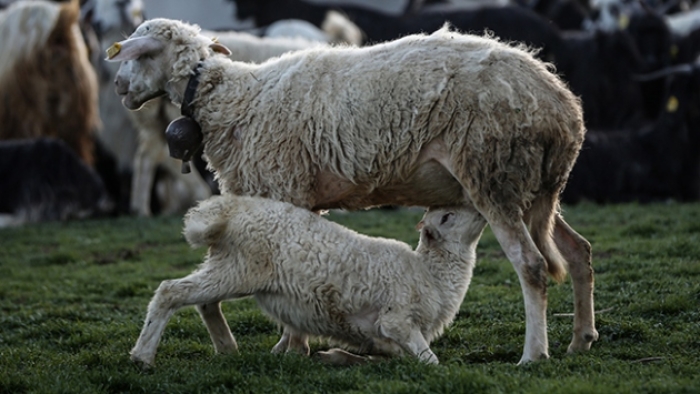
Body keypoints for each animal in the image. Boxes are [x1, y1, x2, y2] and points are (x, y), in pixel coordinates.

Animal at [130, 194, 486, 366]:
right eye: (447, 217)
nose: (480, 209)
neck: (430, 274)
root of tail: (229, 211)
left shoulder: (384, 337)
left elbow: (383, 356)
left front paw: (335, 357)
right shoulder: (395, 320)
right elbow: (431, 361)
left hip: (227, 264)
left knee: (204, 301)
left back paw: (227, 348)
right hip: (241, 267)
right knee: (170, 292)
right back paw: (143, 357)